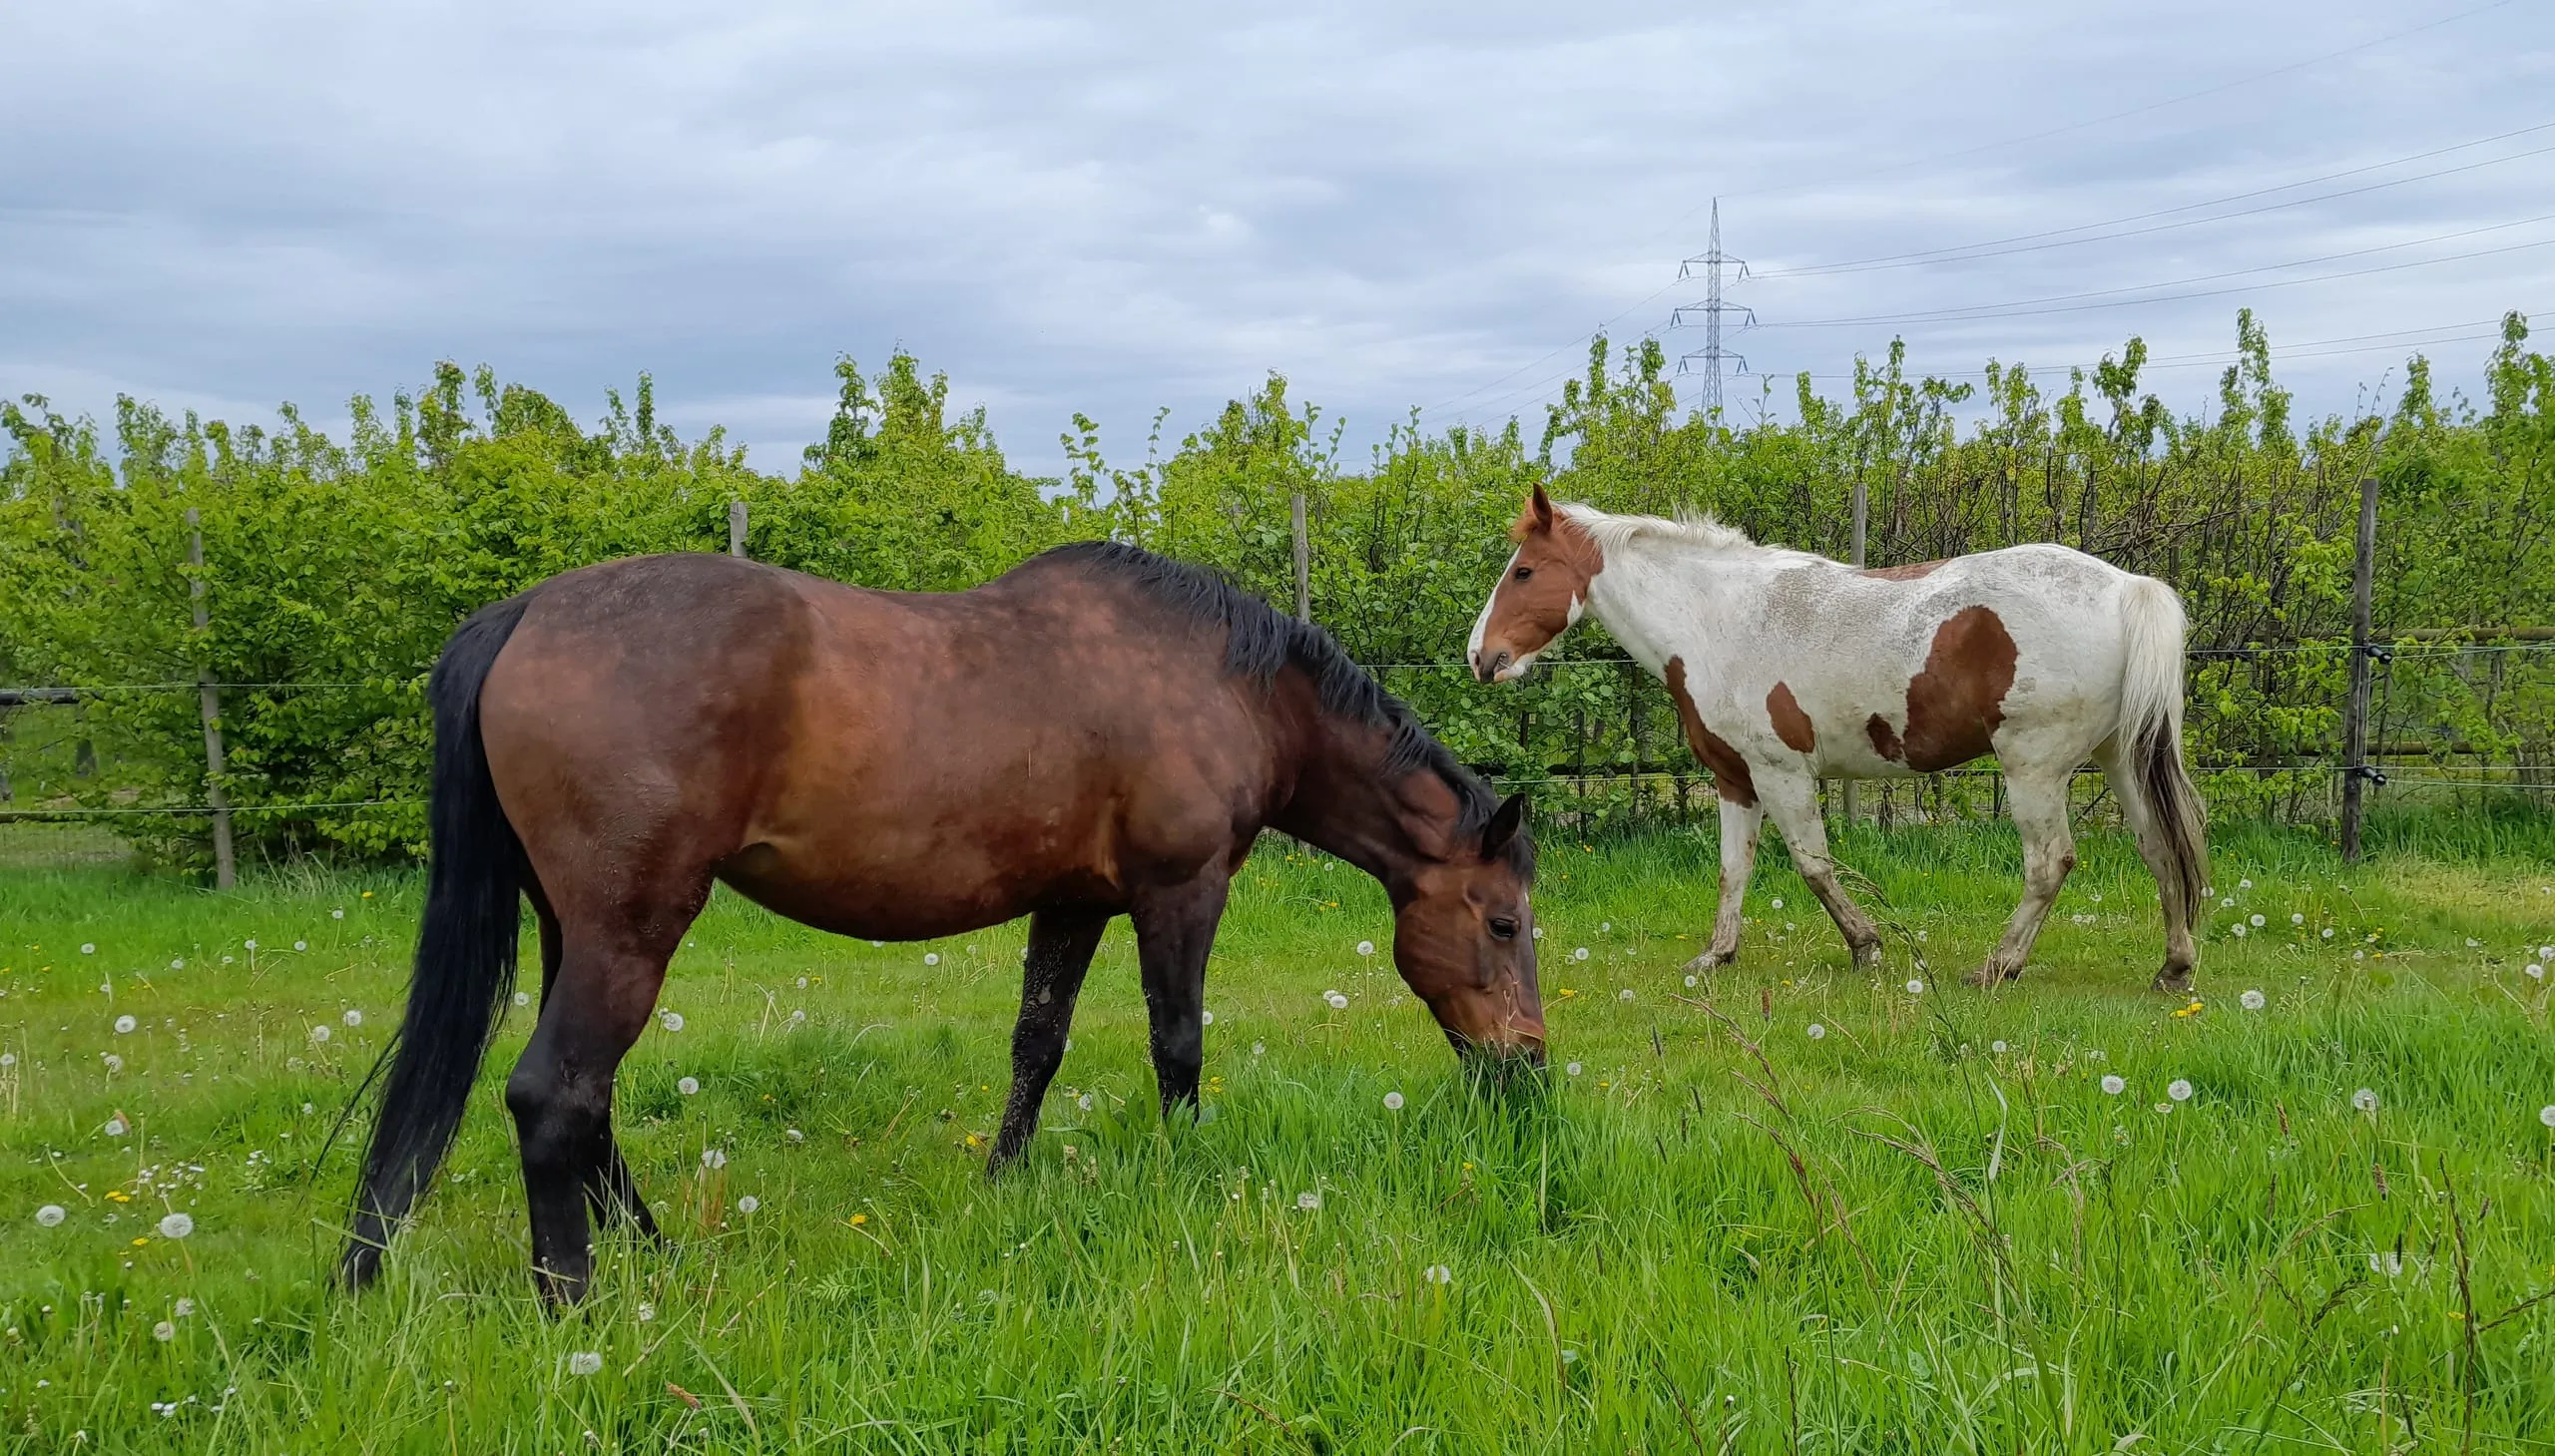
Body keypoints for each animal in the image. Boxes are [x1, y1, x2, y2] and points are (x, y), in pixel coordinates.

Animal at [344, 542, 1543, 1305]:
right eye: (1501, 923)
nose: (1526, 1069)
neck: (1221, 681)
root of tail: (526, 615)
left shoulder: (1072, 900)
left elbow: (1037, 1043)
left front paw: (1002, 1183)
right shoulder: (1180, 891)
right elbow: (1178, 1045)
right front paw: (1189, 1176)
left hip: (572, 930)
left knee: (586, 1107)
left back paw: (657, 1255)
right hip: (628, 932)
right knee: (554, 1096)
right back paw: (578, 1305)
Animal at [1466, 486, 2206, 992]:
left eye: (1524, 571)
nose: (1481, 656)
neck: (1717, 619)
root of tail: (2126, 588)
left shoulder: (1782, 773)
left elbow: (1814, 865)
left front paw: (1866, 945)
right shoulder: (1736, 780)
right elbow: (1733, 870)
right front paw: (1717, 955)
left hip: (2034, 769)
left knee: (2050, 863)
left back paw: (1998, 966)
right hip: (2121, 760)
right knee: (2160, 847)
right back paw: (2174, 966)